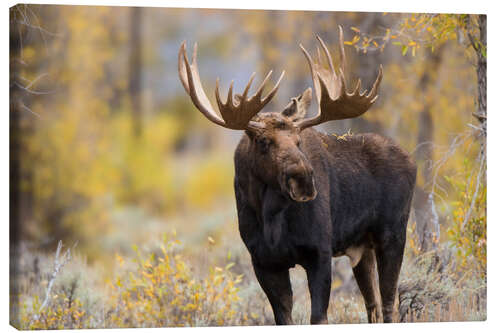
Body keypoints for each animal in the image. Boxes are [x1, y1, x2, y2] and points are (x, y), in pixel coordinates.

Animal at [178, 27, 416, 322]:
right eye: (263, 141)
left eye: (299, 140)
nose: (303, 181)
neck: (270, 218)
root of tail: (412, 160)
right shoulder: (264, 262)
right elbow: (283, 317)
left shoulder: (319, 252)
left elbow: (318, 317)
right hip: (363, 248)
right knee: (372, 303)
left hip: (393, 234)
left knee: (388, 302)